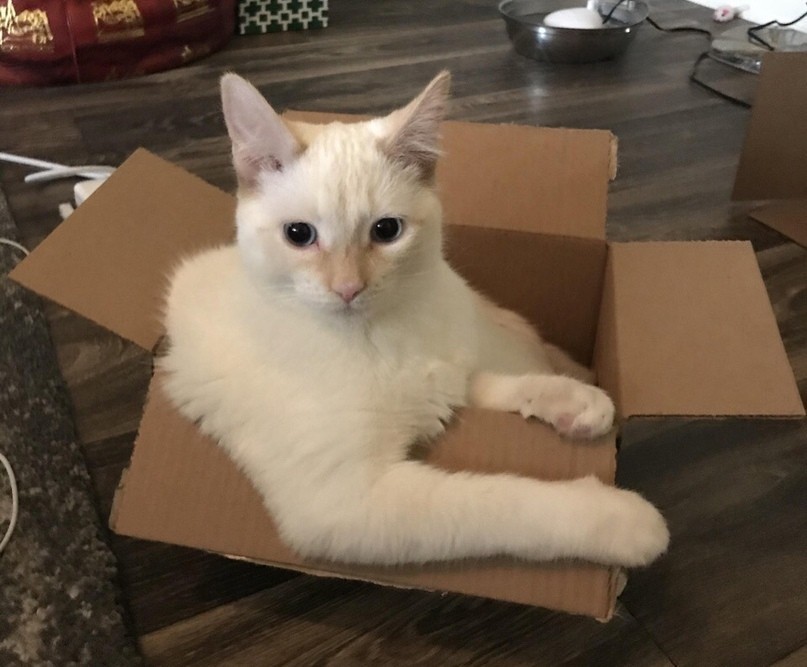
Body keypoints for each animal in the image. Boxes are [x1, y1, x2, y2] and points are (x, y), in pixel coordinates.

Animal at [159, 72, 668, 568]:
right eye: (298, 234)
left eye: (387, 230)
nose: (348, 288)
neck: (377, 335)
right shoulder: (346, 503)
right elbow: (497, 502)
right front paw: (620, 520)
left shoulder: (449, 379)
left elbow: (491, 385)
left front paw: (574, 403)